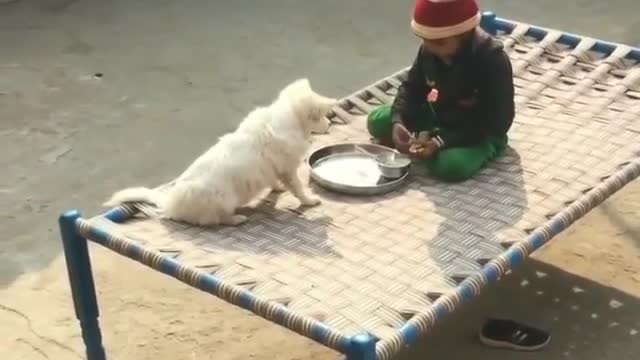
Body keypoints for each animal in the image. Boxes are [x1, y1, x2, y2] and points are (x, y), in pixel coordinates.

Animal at [102, 78, 338, 225]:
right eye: (321, 116)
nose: (329, 125)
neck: (289, 119)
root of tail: (170, 204)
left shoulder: (277, 168)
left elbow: (275, 181)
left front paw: (277, 188)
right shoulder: (288, 169)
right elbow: (298, 188)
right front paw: (309, 200)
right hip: (224, 199)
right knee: (214, 220)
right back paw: (236, 219)